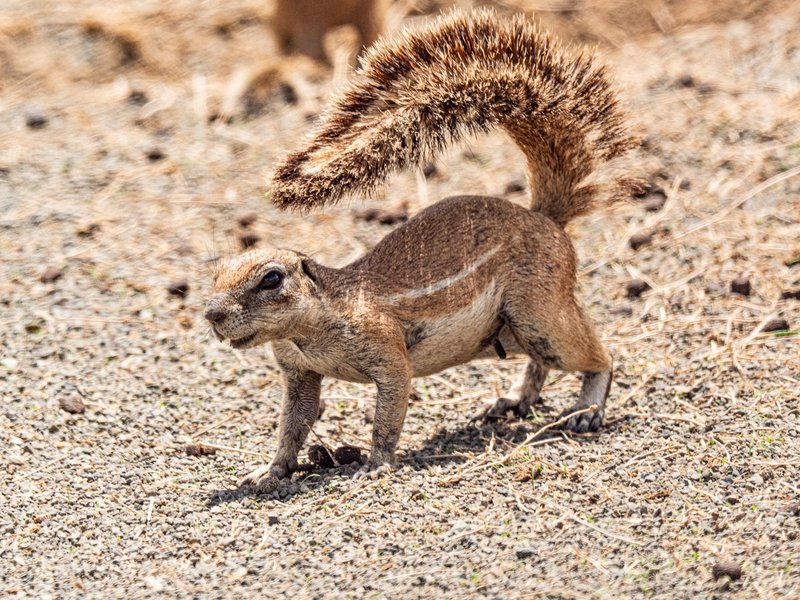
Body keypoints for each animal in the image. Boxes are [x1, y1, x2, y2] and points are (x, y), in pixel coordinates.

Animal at [205, 9, 639, 493]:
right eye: (216, 273)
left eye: (272, 278)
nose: (212, 314)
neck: (313, 326)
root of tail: (546, 217)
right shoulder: (299, 372)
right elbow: (293, 425)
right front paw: (270, 470)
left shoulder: (386, 348)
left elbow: (388, 411)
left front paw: (376, 463)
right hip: (514, 329)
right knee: (539, 364)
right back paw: (514, 400)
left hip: (539, 311)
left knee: (594, 356)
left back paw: (587, 410)